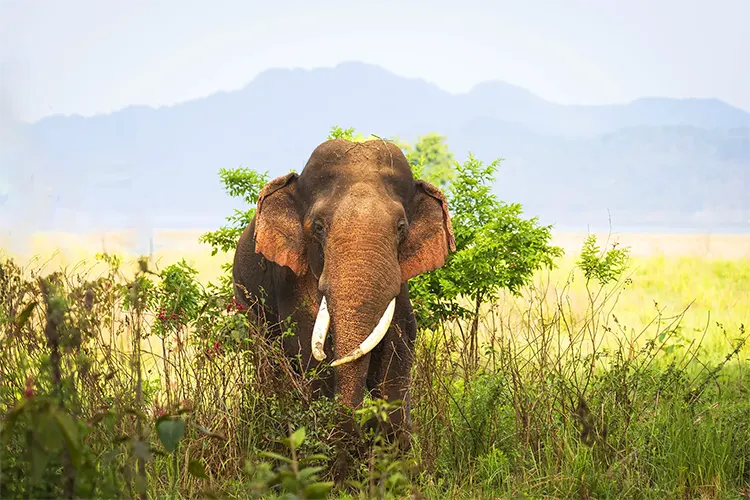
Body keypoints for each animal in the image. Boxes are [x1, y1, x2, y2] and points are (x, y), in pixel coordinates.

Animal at [231, 138, 455, 454]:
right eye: (318, 227)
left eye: (401, 228)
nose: (362, 436)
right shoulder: (291, 276)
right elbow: (305, 344)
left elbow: (401, 341)